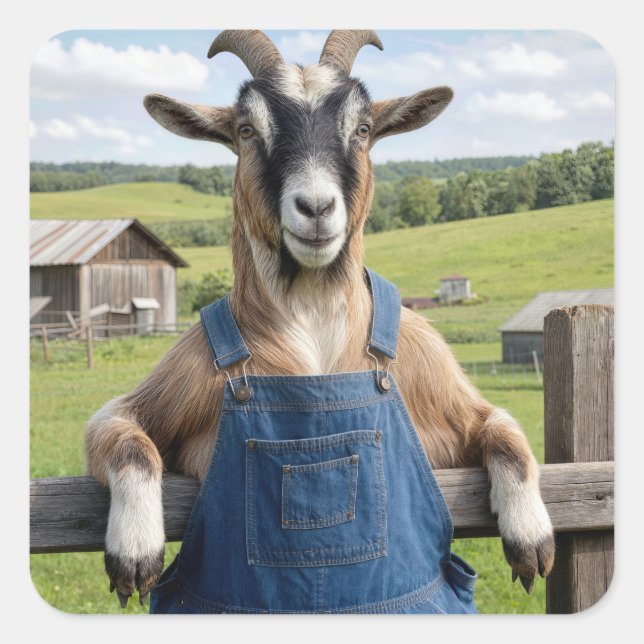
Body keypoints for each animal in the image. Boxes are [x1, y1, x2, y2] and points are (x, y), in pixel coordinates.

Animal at [85, 29, 554, 612]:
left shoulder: (448, 392)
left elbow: (505, 430)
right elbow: (124, 437)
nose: (315, 207)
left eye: (363, 128)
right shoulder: (155, 395)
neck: (315, 338)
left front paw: (532, 537)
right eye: (246, 130)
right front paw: (134, 549)